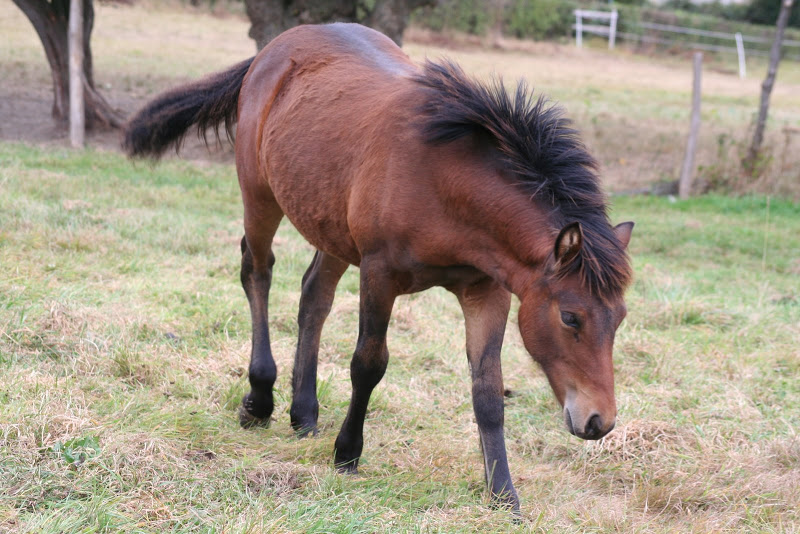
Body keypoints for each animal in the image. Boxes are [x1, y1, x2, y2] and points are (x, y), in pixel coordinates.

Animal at [123, 23, 632, 512]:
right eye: (570, 317)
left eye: (620, 319)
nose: (598, 422)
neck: (445, 182)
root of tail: (272, 50)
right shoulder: (379, 274)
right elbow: (368, 364)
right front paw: (347, 452)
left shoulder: (487, 290)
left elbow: (488, 391)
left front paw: (503, 494)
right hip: (260, 195)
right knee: (258, 272)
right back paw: (261, 399)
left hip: (328, 224)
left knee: (314, 296)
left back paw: (303, 412)